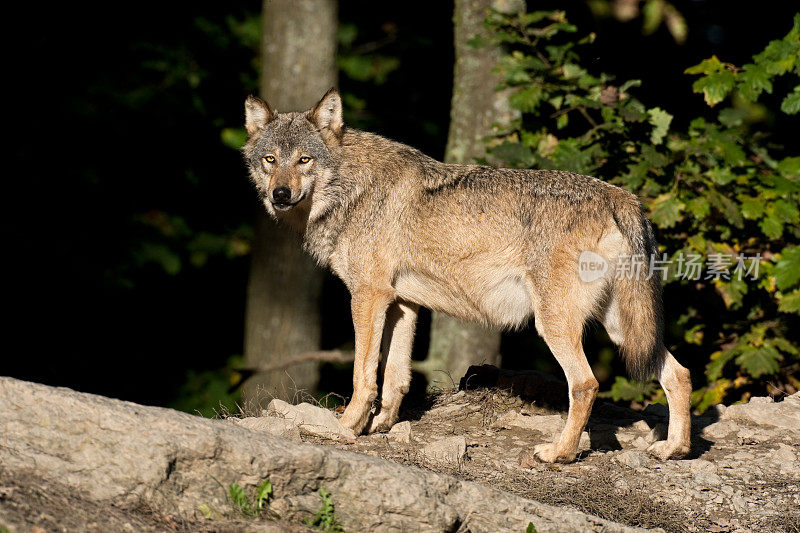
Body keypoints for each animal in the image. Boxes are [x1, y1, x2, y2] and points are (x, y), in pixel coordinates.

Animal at [241, 87, 692, 462]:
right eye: (270, 160)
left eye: (304, 160)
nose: (280, 194)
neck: (349, 189)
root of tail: (622, 196)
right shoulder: (403, 303)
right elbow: (396, 375)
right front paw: (381, 425)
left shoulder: (368, 296)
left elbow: (363, 373)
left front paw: (347, 426)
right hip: (625, 330)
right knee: (679, 373)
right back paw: (674, 449)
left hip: (556, 326)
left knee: (586, 384)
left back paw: (559, 454)